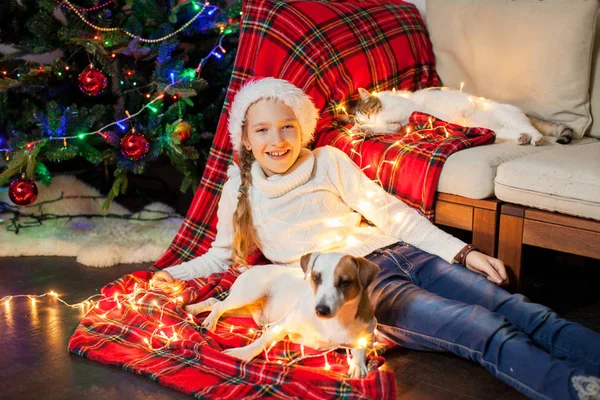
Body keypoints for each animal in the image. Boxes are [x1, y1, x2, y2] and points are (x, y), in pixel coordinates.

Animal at [185, 253, 380, 378]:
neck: (333, 322)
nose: (321, 309)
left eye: (345, 282)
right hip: (249, 294)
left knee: (213, 302)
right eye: (316, 278)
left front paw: (358, 366)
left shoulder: (367, 333)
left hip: (244, 306)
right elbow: (261, 342)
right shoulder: (283, 325)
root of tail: (251, 268)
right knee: (219, 305)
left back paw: (195, 310)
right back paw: (208, 318)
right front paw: (242, 353)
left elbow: (360, 347)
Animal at [352, 87, 572, 145]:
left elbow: (392, 119)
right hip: (499, 130)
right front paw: (364, 129)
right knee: (517, 132)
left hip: (508, 117)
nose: (368, 121)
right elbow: (385, 128)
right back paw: (522, 139)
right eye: (363, 117)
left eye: (369, 112)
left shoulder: (406, 109)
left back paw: (535, 138)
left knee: (532, 129)